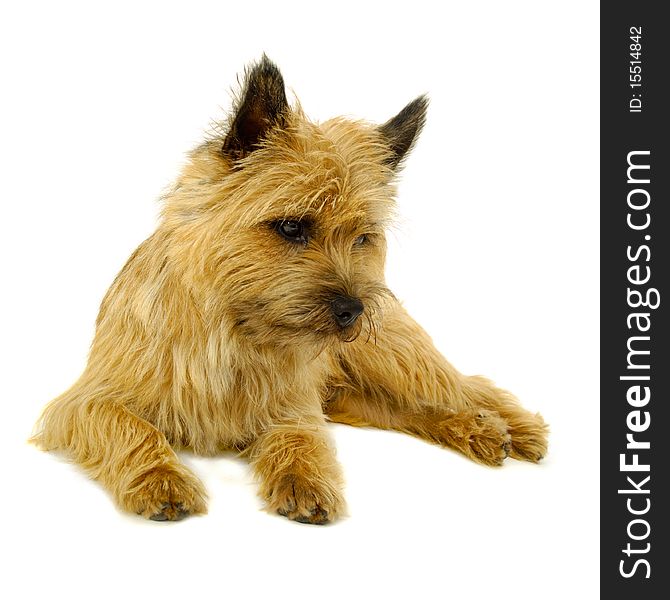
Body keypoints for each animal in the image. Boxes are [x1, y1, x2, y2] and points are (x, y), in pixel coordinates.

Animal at [31, 57, 548, 524]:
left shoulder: (294, 407)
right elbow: (129, 427)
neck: (232, 334)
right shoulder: (86, 402)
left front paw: (305, 482)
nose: (353, 311)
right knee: (413, 410)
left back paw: (515, 429)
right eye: (292, 227)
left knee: (468, 385)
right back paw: (480, 432)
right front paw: (161, 479)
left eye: (363, 237)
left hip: (394, 358)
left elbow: (299, 440)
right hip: (353, 396)